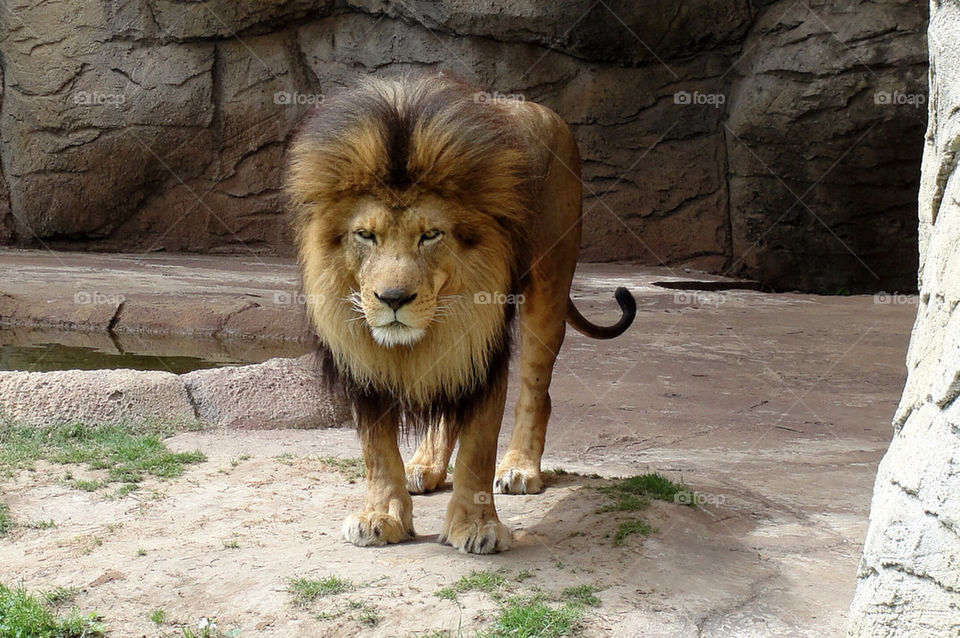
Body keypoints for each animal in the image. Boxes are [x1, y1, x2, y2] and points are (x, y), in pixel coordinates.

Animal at [288, 75, 640, 556]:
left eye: (430, 235)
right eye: (366, 235)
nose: (393, 298)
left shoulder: (483, 350)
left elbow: (477, 447)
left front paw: (476, 526)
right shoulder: (362, 359)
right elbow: (376, 450)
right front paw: (381, 517)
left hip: (548, 290)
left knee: (537, 391)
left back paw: (521, 468)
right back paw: (424, 466)